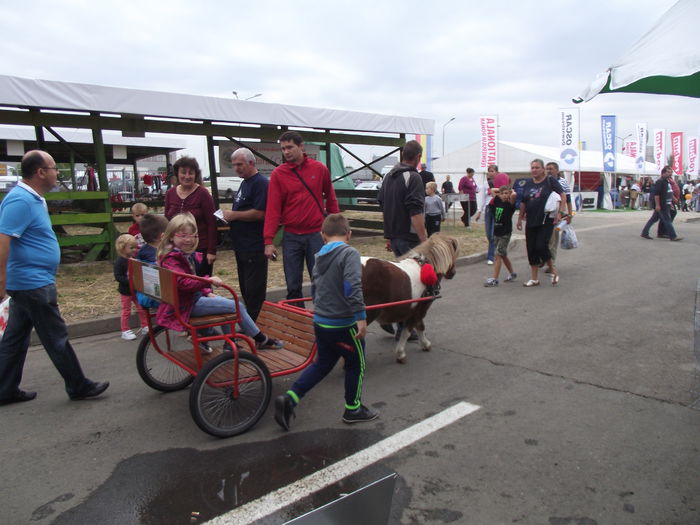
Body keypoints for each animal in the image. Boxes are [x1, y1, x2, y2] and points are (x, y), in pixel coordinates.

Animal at [360, 234, 460, 362]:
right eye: (454, 254)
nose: (453, 273)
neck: (425, 268)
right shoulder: (419, 310)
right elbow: (411, 329)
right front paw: (401, 353)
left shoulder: (414, 310)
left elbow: (418, 326)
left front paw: (424, 344)